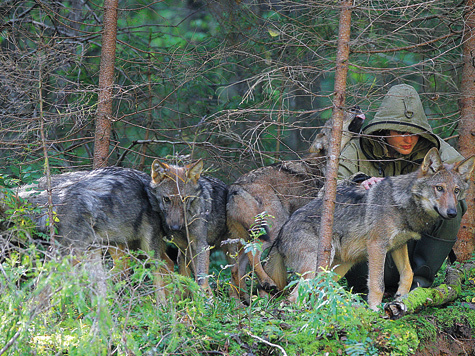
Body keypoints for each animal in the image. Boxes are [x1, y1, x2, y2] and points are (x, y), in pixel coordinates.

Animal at [13, 167, 175, 304]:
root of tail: (148, 179)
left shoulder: (64, 253)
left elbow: (41, 289)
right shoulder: (87, 250)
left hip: (148, 247)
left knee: (159, 270)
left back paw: (163, 306)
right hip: (114, 243)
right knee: (130, 267)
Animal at [150, 159, 230, 292]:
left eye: (184, 199)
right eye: (166, 199)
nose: (175, 227)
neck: (186, 223)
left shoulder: (201, 245)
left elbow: (201, 278)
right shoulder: (184, 249)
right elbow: (187, 282)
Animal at [225, 106, 366, 300]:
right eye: (339, 114)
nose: (356, 107)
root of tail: (236, 186)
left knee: (235, 270)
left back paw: (244, 300)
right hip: (273, 228)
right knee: (253, 252)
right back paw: (267, 283)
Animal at [266, 149, 475, 310]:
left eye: (456, 191)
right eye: (439, 188)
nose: (452, 213)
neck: (401, 203)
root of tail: (280, 235)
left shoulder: (398, 246)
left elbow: (408, 273)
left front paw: (402, 297)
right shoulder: (377, 246)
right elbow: (377, 284)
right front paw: (374, 309)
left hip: (337, 268)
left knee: (319, 292)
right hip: (317, 266)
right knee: (294, 298)